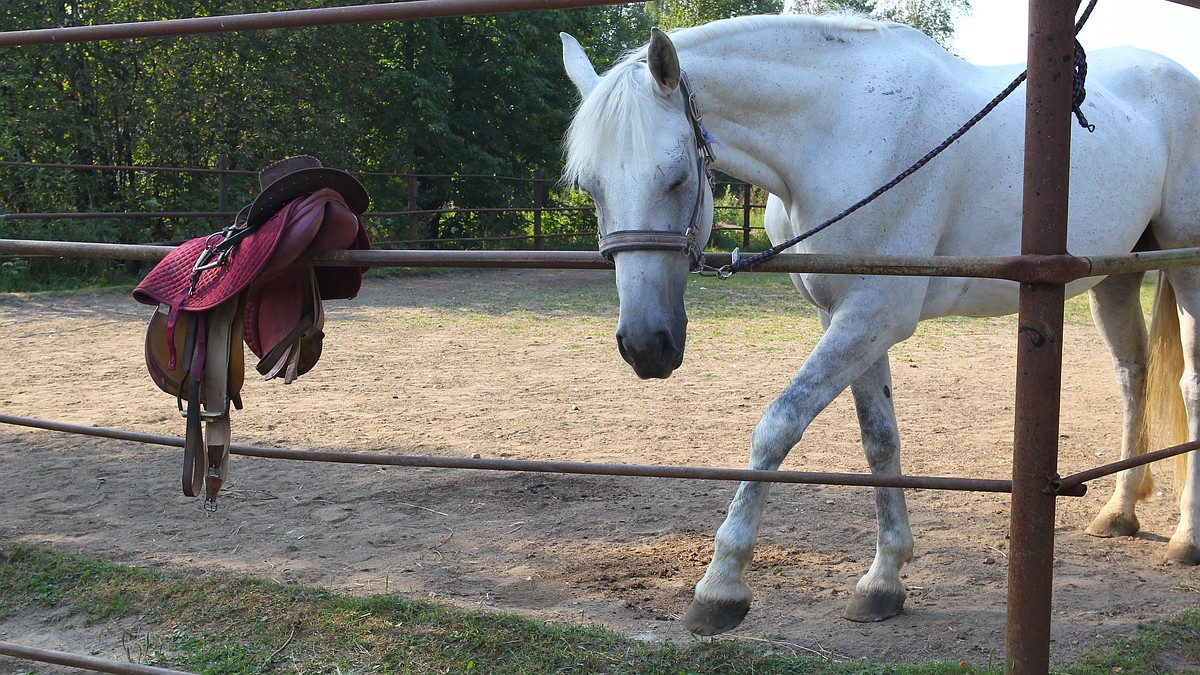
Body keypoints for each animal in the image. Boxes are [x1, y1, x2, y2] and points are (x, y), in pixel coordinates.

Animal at [559, 15, 1200, 634]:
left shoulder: (873, 314)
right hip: (1117, 276)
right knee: (1133, 375)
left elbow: (777, 426)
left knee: (1190, 387)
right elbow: (880, 439)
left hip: (1188, 266)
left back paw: (1185, 538)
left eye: (674, 178)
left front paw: (721, 587)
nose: (646, 345)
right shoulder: (846, 316)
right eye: (590, 186)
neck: (841, 128)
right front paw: (884, 580)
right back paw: (1120, 511)